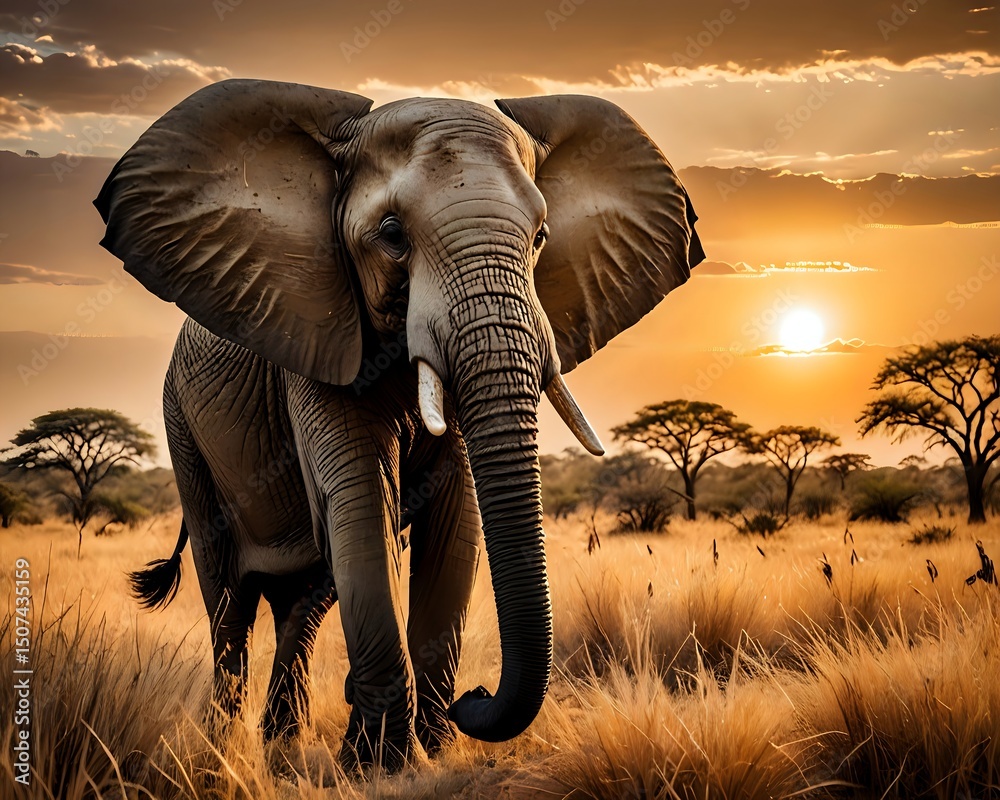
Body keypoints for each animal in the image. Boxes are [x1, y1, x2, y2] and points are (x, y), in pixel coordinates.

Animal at [94, 79, 704, 772]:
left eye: (542, 236)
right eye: (391, 234)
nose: (478, 696)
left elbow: (457, 519)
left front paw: (431, 751)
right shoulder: (315, 333)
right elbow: (364, 502)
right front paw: (382, 763)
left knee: (306, 596)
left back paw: (284, 743)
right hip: (183, 427)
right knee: (228, 599)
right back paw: (221, 749)